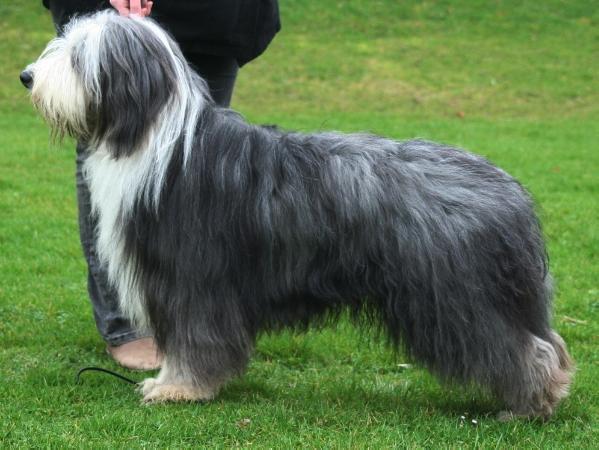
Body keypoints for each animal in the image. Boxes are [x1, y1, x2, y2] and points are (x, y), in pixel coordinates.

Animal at [22, 10, 572, 418]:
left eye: (78, 57)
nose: (26, 77)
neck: (154, 136)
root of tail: (507, 189)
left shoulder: (192, 280)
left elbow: (193, 340)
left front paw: (179, 388)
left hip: (458, 297)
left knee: (517, 346)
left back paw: (530, 403)